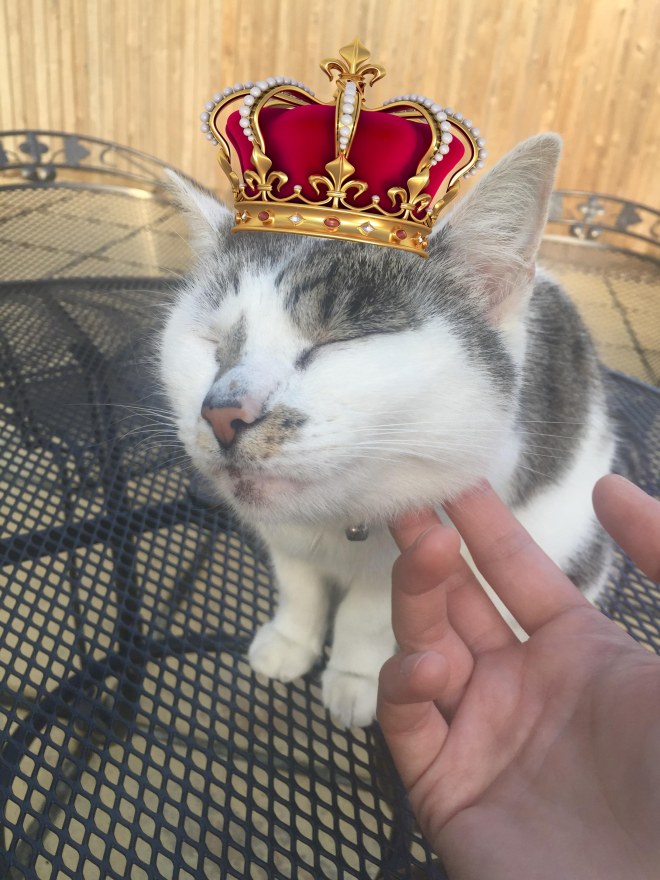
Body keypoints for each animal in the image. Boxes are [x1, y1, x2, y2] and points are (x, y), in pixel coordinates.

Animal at [159, 133, 616, 728]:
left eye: (337, 343)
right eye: (214, 345)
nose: (221, 412)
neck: (334, 522)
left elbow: (370, 613)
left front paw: (356, 677)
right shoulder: (282, 538)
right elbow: (298, 584)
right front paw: (290, 641)